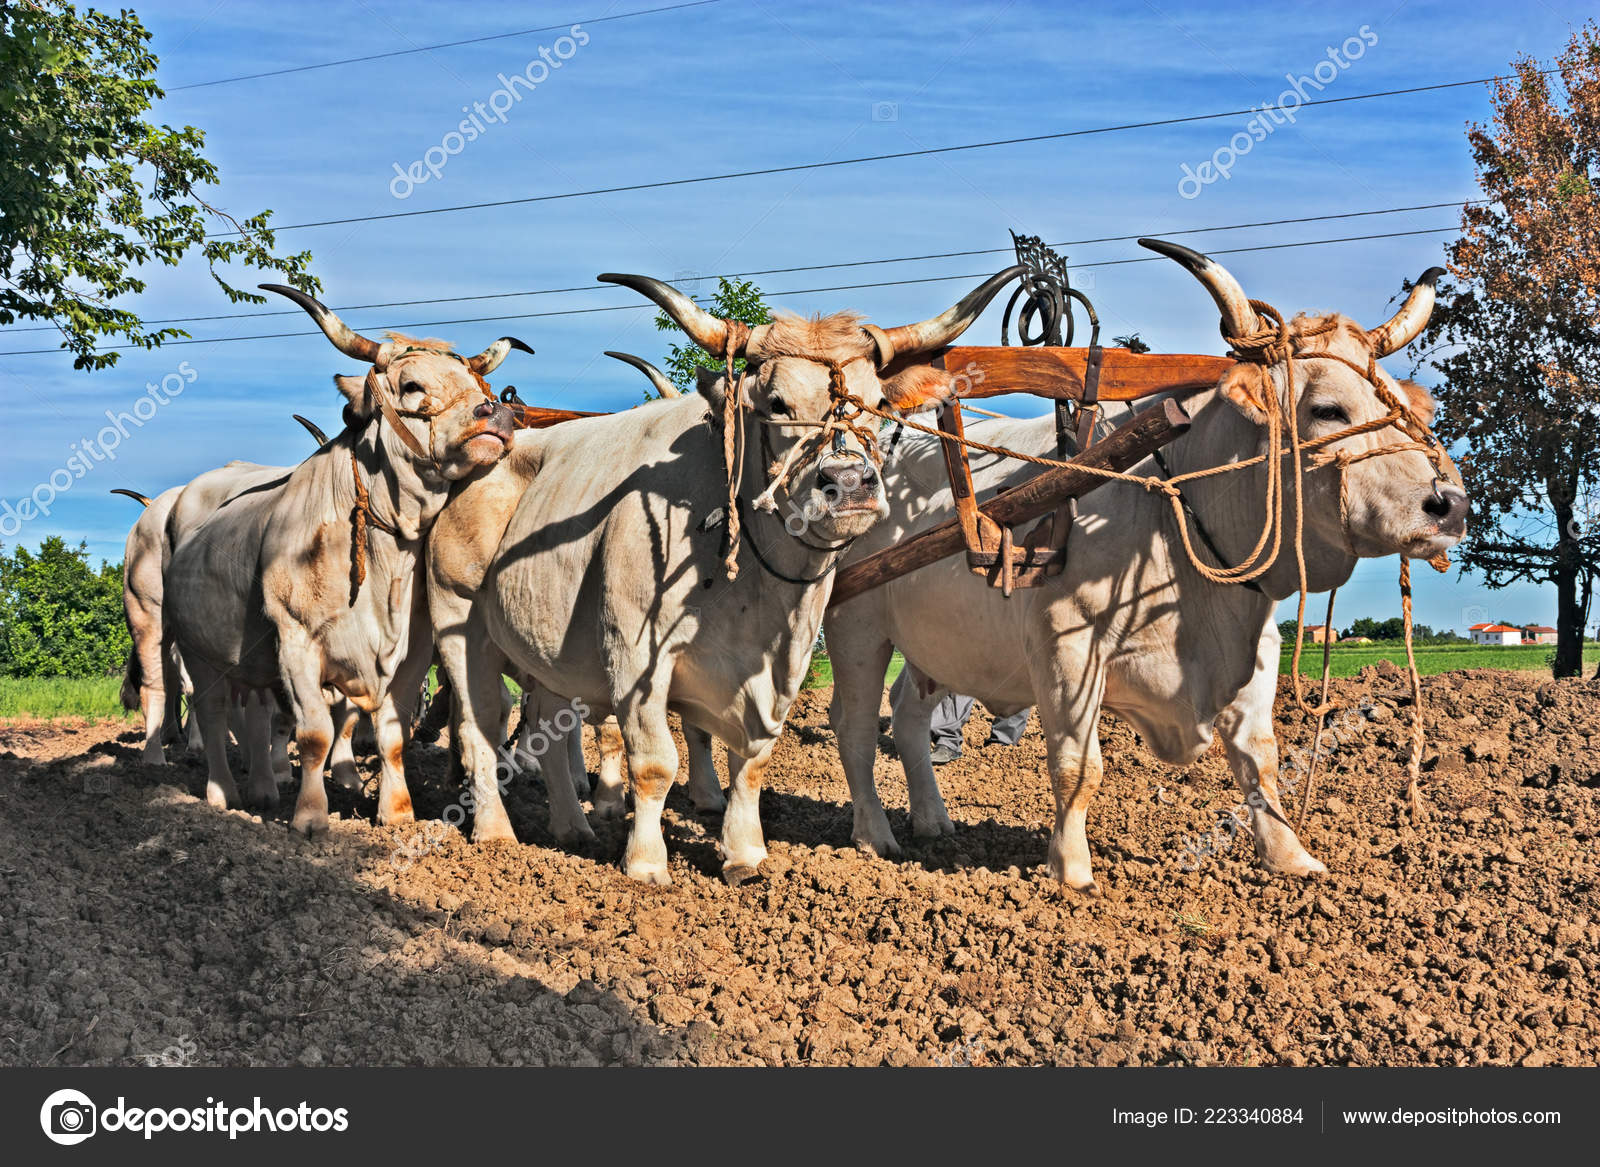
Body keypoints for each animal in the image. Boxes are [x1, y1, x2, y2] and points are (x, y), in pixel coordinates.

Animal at [165, 286, 526, 832]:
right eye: (412, 385)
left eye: (476, 381)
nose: (498, 416)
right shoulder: (296, 642)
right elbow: (314, 734)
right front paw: (311, 817)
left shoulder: (412, 652)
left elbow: (393, 735)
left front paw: (396, 813)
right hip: (200, 654)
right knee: (210, 716)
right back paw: (222, 793)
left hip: (250, 665)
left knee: (255, 717)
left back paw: (264, 789)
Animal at [426, 267, 1023, 883]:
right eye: (777, 403)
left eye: (878, 402)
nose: (849, 482)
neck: (752, 589)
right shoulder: (634, 653)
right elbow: (654, 762)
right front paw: (646, 862)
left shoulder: (783, 662)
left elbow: (753, 758)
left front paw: (746, 852)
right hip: (458, 623)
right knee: (479, 727)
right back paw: (496, 833)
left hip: (543, 646)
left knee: (546, 727)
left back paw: (572, 826)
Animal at [824, 239, 1468, 891]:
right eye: (1328, 409)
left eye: (1400, 405)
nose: (1450, 504)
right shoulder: (1067, 645)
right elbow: (1078, 766)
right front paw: (1072, 870)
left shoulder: (1257, 644)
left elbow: (1260, 760)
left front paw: (1291, 858)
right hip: (856, 629)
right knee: (855, 728)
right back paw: (874, 835)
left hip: (935, 642)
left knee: (907, 717)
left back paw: (933, 821)